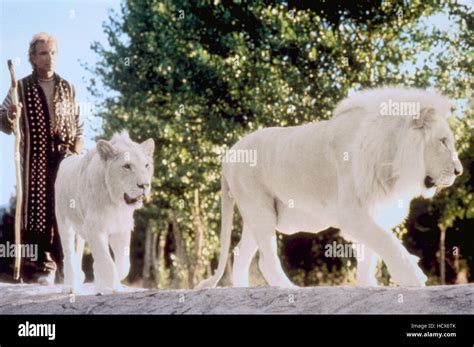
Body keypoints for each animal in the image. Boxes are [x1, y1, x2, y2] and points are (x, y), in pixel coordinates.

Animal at [56, 132, 154, 294]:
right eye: (127, 166)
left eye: (146, 165)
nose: (144, 185)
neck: (115, 202)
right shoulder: (93, 228)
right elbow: (108, 263)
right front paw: (109, 287)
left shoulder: (121, 229)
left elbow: (122, 265)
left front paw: (103, 284)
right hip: (64, 221)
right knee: (68, 254)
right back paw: (70, 286)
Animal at [196, 87, 462, 290]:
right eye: (443, 142)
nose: (459, 171)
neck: (391, 158)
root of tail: (228, 154)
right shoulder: (350, 212)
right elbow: (386, 241)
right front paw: (412, 276)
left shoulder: (374, 208)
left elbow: (370, 253)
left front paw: (367, 285)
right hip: (259, 207)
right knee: (266, 261)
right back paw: (291, 289)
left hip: (257, 214)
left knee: (241, 253)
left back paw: (241, 289)